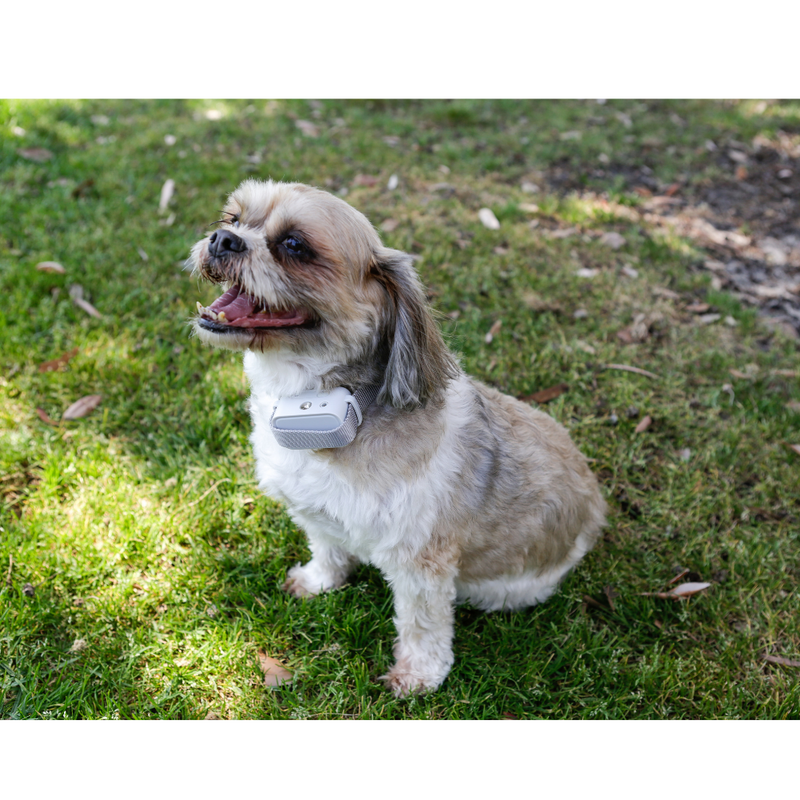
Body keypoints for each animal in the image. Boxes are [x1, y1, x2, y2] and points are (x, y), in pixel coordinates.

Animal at [189, 180, 608, 692]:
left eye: (294, 244)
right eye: (232, 219)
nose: (222, 240)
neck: (314, 402)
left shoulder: (420, 562)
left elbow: (422, 623)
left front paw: (418, 675)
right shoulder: (315, 512)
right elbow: (328, 548)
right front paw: (319, 581)